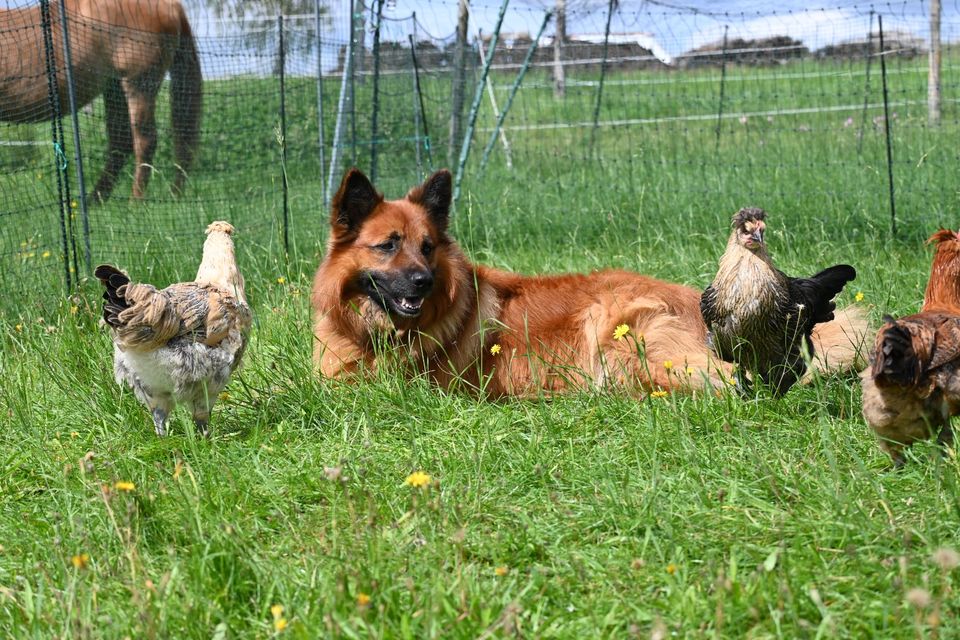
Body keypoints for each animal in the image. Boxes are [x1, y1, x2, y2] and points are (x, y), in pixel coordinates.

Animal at [0, 0, 202, 200]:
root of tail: (170, 5)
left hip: (139, 85)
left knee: (145, 142)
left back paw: (136, 201)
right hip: (115, 89)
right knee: (122, 143)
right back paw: (97, 201)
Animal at [314, 168, 864, 398]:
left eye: (428, 247)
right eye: (388, 245)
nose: (423, 283)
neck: (375, 335)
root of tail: (705, 303)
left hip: (616, 335)